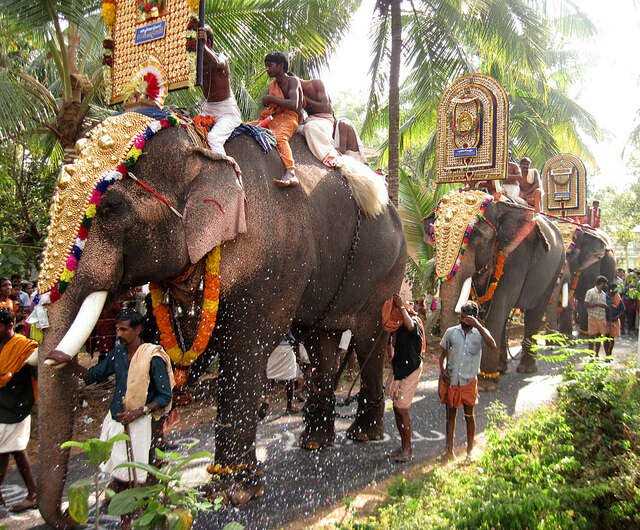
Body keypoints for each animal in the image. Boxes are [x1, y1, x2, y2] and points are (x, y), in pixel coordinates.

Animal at [35, 112, 406, 528]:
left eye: (112, 207)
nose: (76, 515)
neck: (203, 147)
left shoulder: (273, 261)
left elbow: (244, 351)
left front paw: (232, 494)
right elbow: (172, 354)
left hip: (384, 272)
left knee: (367, 336)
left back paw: (363, 435)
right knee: (320, 341)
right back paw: (314, 442)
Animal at [425, 195, 565, 389]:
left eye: (477, 237)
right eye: (433, 237)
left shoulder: (516, 256)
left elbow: (498, 306)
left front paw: (485, 386)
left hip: (555, 269)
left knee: (535, 312)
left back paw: (525, 369)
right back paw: (501, 369)